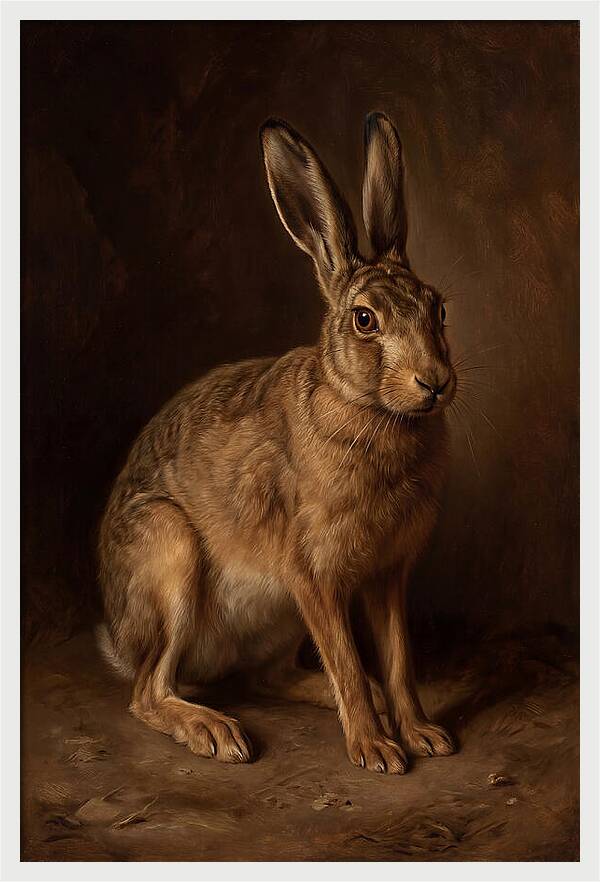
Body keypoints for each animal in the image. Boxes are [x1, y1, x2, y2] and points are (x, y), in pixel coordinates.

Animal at [97, 111, 457, 774]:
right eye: (364, 320)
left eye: (438, 308)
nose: (435, 382)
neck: (370, 409)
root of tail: (118, 634)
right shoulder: (311, 573)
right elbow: (347, 659)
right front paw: (377, 751)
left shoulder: (387, 575)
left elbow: (397, 661)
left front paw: (422, 734)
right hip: (169, 553)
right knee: (148, 691)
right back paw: (215, 731)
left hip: (278, 620)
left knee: (269, 678)